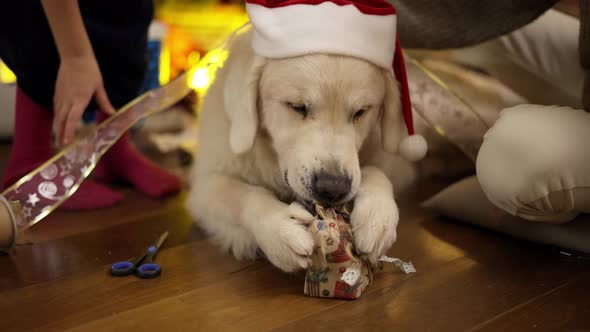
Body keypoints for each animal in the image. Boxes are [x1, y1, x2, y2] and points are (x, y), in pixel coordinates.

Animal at [187, 27, 418, 272]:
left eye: (361, 112)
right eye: (297, 107)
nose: (332, 188)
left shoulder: (398, 165)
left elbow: (376, 171)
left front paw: (377, 218)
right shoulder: (204, 187)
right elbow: (244, 194)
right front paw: (278, 227)